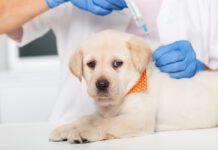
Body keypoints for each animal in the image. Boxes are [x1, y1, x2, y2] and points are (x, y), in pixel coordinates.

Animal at [49, 29, 218, 144]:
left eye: (117, 63)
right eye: (91, 64)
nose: (101, 84)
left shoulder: (138, 118)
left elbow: (107, 123)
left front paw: (84, 131)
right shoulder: (101, 113)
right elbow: (85, 118)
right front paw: (64, 128)